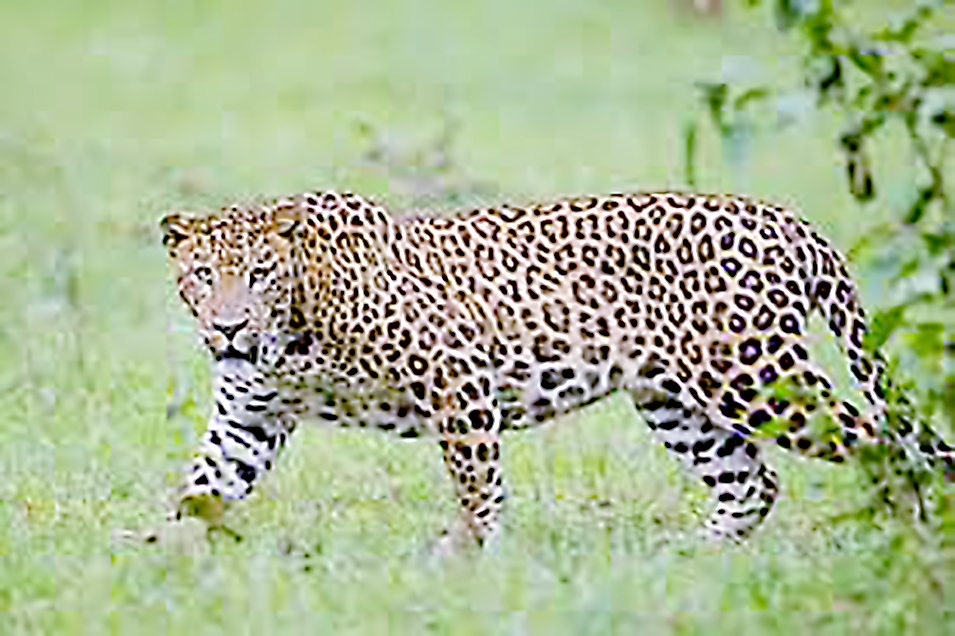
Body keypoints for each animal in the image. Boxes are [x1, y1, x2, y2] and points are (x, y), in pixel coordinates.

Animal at [160, 190, 955, 546]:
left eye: (259, 275)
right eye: (201, 276)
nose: (228, 326)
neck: (291, 330)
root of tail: (792, 221)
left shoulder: (456, 373)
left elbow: (476, 484)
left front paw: (472, 558)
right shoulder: (246, 419)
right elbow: (199, 491)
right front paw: (157, 563)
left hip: (752, 376)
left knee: (883, 444)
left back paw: (908, 540)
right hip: (674, 401)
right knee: (751, 482)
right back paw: (691, 559)